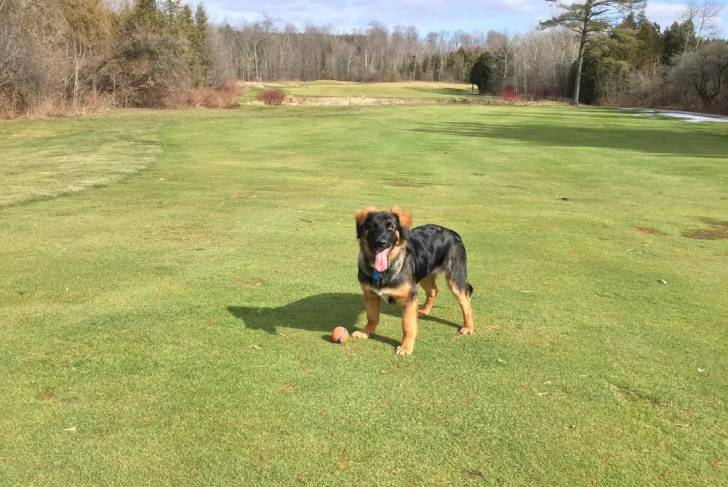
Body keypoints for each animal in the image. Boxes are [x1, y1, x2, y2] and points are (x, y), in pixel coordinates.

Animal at [353, 207, 475, 355]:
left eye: (391, 227)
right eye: (371, 226)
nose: (381, 243)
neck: (387, 268)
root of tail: (453, 233)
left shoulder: (409, 298)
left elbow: (408, 325)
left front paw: (406, 347)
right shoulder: (370, 295)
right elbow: (372, 317)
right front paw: (366, 332)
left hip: (455, 278)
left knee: (465, 301)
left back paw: (468, 327)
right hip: (425, 274)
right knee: (433, 290)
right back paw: (425, 311)